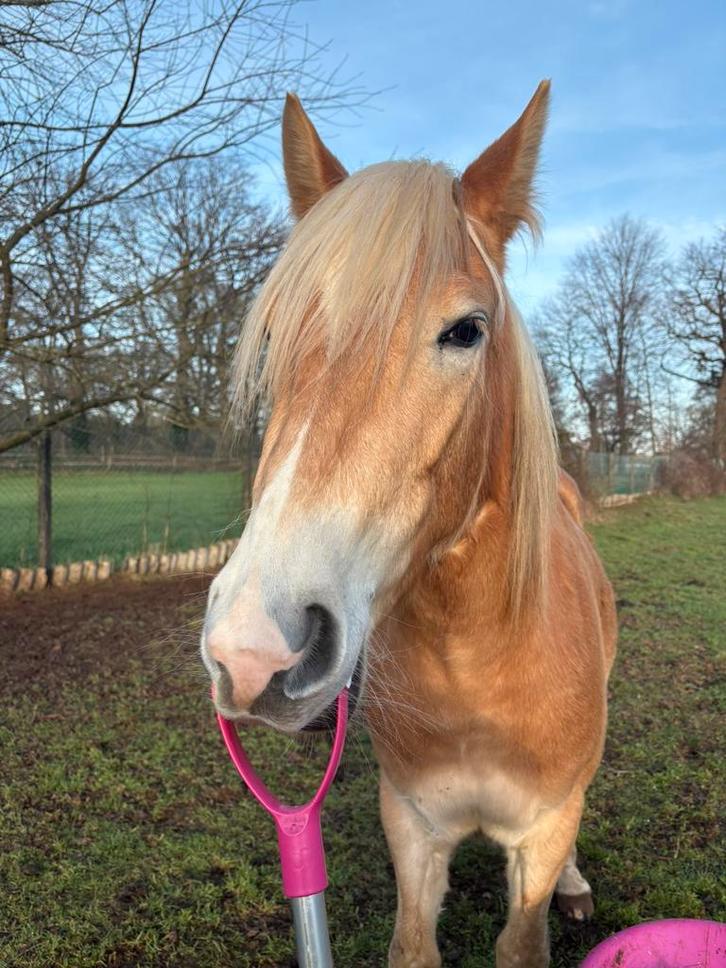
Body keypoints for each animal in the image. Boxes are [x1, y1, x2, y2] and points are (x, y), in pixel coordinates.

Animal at [201, 80, 617, 967]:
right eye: (277, 334)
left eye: (465, 331)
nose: (252, 650)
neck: (478, 672)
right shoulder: (414, 830)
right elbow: (412, 946)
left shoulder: (538, 836)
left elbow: (524, 933)